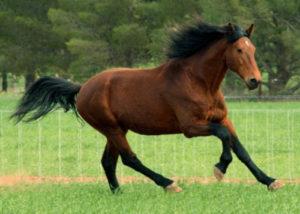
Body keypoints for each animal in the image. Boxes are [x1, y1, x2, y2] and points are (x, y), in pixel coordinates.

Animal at [11, 21, 284, 192]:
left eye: (253, 49)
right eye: (238, 49)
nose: (254, 81)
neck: (198, 81)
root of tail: (83, 88)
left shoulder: (223, 119)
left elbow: (241, 149)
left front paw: (270, 181)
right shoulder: (191, 127)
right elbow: (225, 138)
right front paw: (220, 168)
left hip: (117, 129)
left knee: (108, 162)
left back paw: (118, 193)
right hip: (112, 129)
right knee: (129, 159)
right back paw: (169, 184)